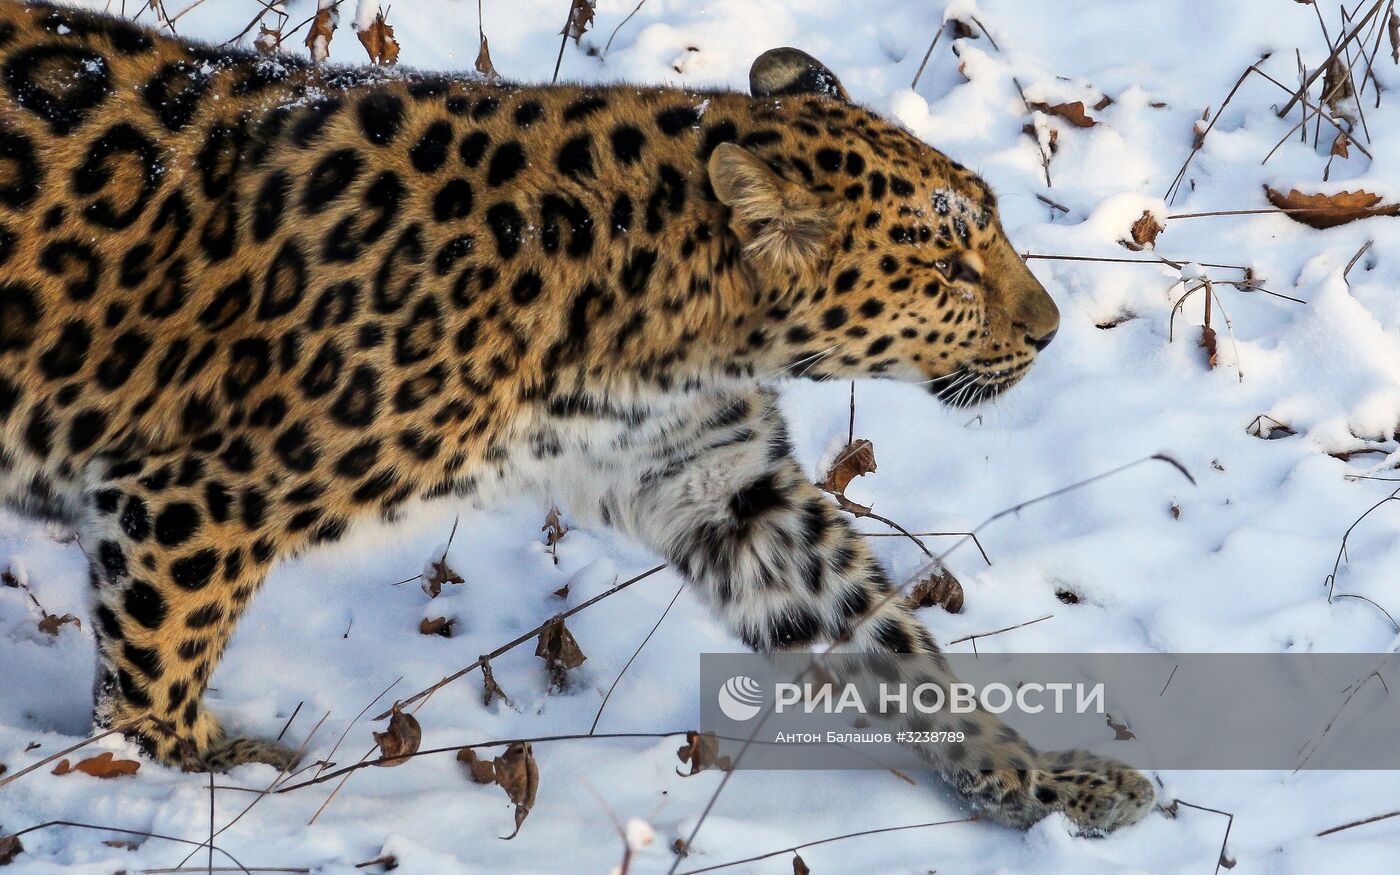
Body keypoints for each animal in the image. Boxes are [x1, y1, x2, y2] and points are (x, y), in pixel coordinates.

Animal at [0, 0, 1153, 834]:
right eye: (948, 267)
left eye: (990, 227)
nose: (1051, 330)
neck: (664, 327)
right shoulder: (188, 497)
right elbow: (159, 661)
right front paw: (189, 773)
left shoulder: (718, 485)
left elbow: (885, 640)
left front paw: (1036, 780)